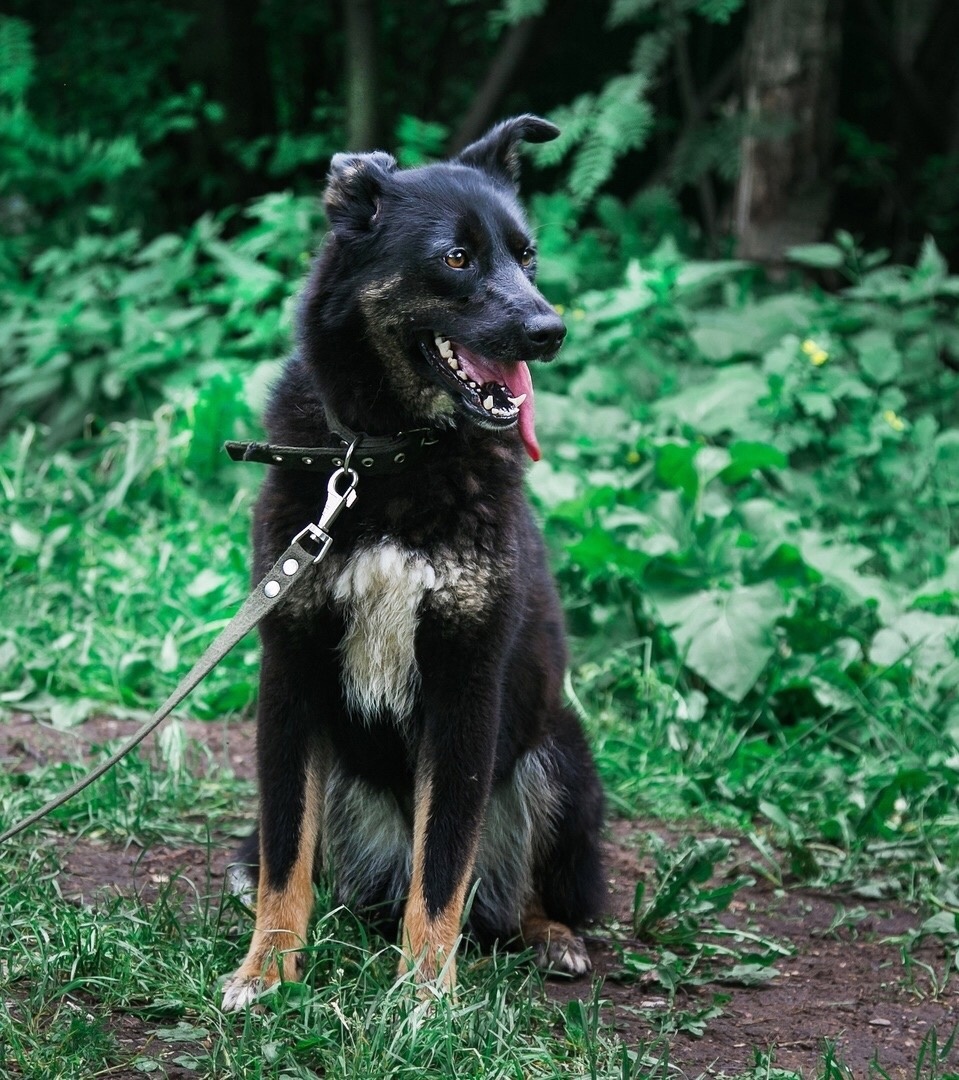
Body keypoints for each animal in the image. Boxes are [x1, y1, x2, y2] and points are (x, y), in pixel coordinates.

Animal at [221, 113, 604, 1006]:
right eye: (456, 257)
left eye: (527, 255)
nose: (550, 331)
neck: (386, 458)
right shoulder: (290, 676)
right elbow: (286, 853)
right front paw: (269, 967)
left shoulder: (466, 688)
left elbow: (444, 867)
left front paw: (423, 995)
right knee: (302, 864)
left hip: (559, 758)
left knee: (505, 893)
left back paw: (551, 936)